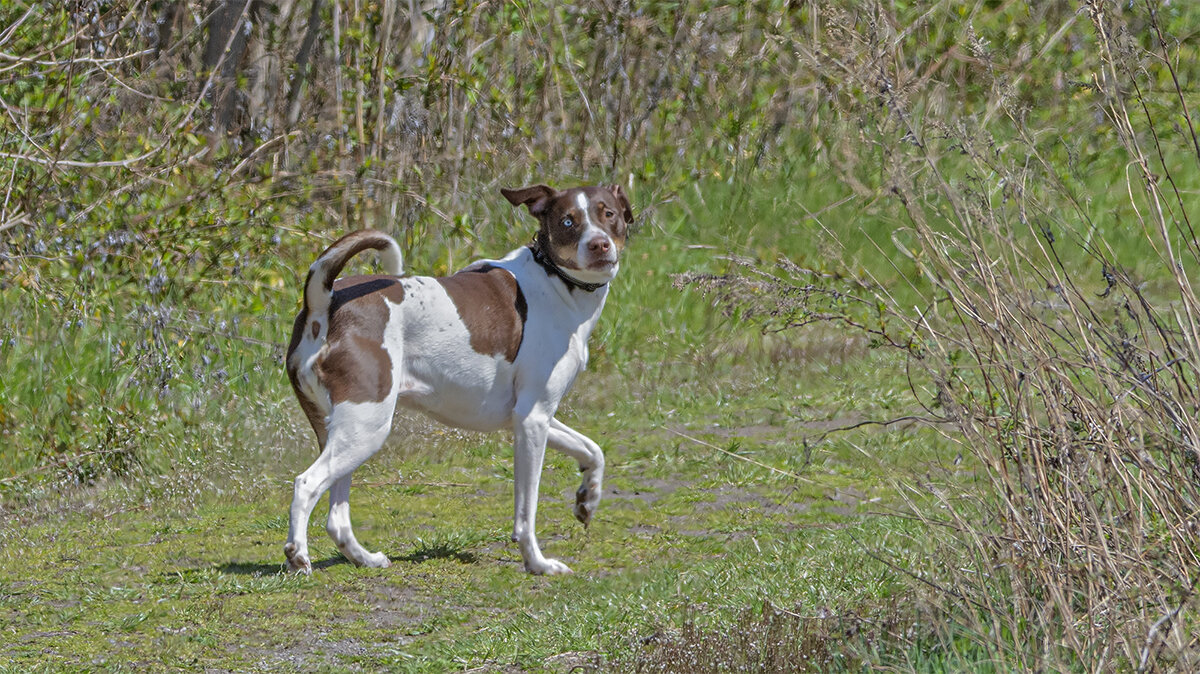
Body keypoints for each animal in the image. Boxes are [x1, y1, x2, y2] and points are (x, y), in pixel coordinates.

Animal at [284, 182, 633, 570]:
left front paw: (588, 498)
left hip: (345, 430)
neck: (554, 280)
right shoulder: (533, 420)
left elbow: (593, 450)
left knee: (337, 518)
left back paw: (365, 558)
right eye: (568, 221)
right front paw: (538, 564)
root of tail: (325, 302)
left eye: (609, 214)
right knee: (306, 484)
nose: (599, 244)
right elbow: (526, 513)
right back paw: (298, 555)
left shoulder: (528, 417)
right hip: (366, 427)